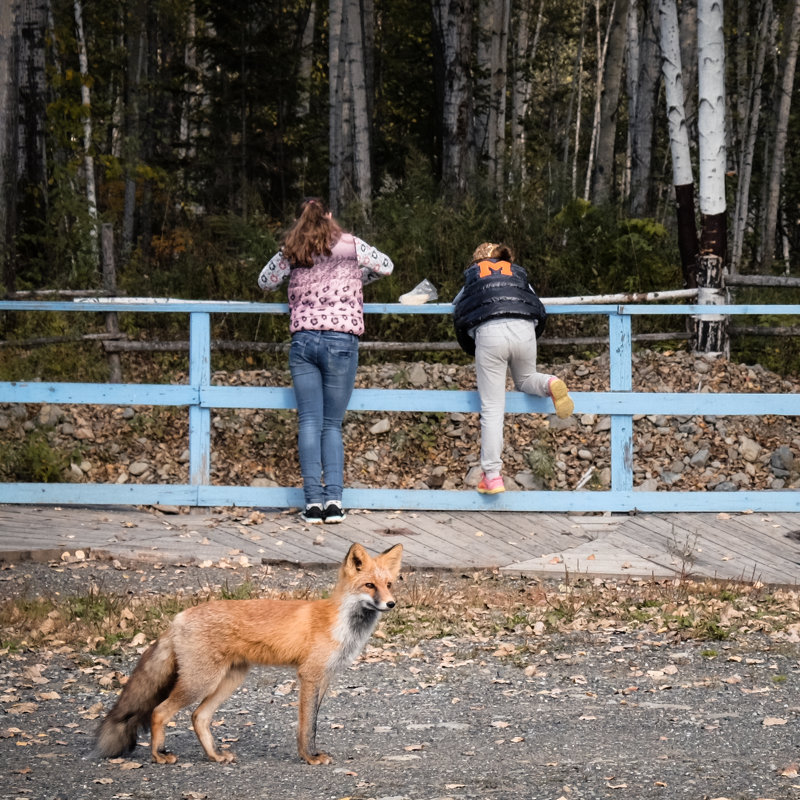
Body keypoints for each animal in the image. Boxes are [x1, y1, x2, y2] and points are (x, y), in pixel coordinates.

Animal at [94, 540, 404, 764]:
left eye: (389, 584)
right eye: (369, 585)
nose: (391, 603)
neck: (340, 623)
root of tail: (178, 617)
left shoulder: (325, 678)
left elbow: (313, 723)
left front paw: (312, 753)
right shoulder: (309, 675)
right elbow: (306, 725)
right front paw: (309, 757)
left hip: (229, 680)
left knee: (199, 717)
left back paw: (214, 755)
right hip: (200, 682)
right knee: (159, 712)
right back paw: (159, 755)